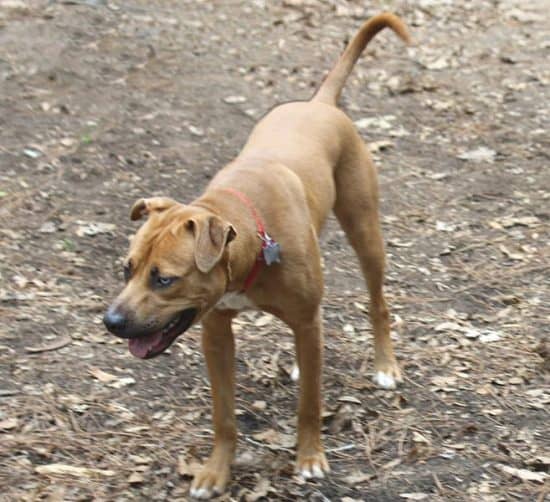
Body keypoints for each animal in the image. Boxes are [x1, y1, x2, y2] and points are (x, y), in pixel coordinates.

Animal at [105, 11, 412, 498]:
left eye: (164, 278)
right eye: (127, 268)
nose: (111, 321)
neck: (249, 238)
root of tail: (319, 103)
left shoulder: (305, 319)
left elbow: (309, 405)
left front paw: (310, 458)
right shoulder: (215, 332)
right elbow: (223, 415)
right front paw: (215, 471)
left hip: (366, 233)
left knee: (377, 304)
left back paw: (385, 366)